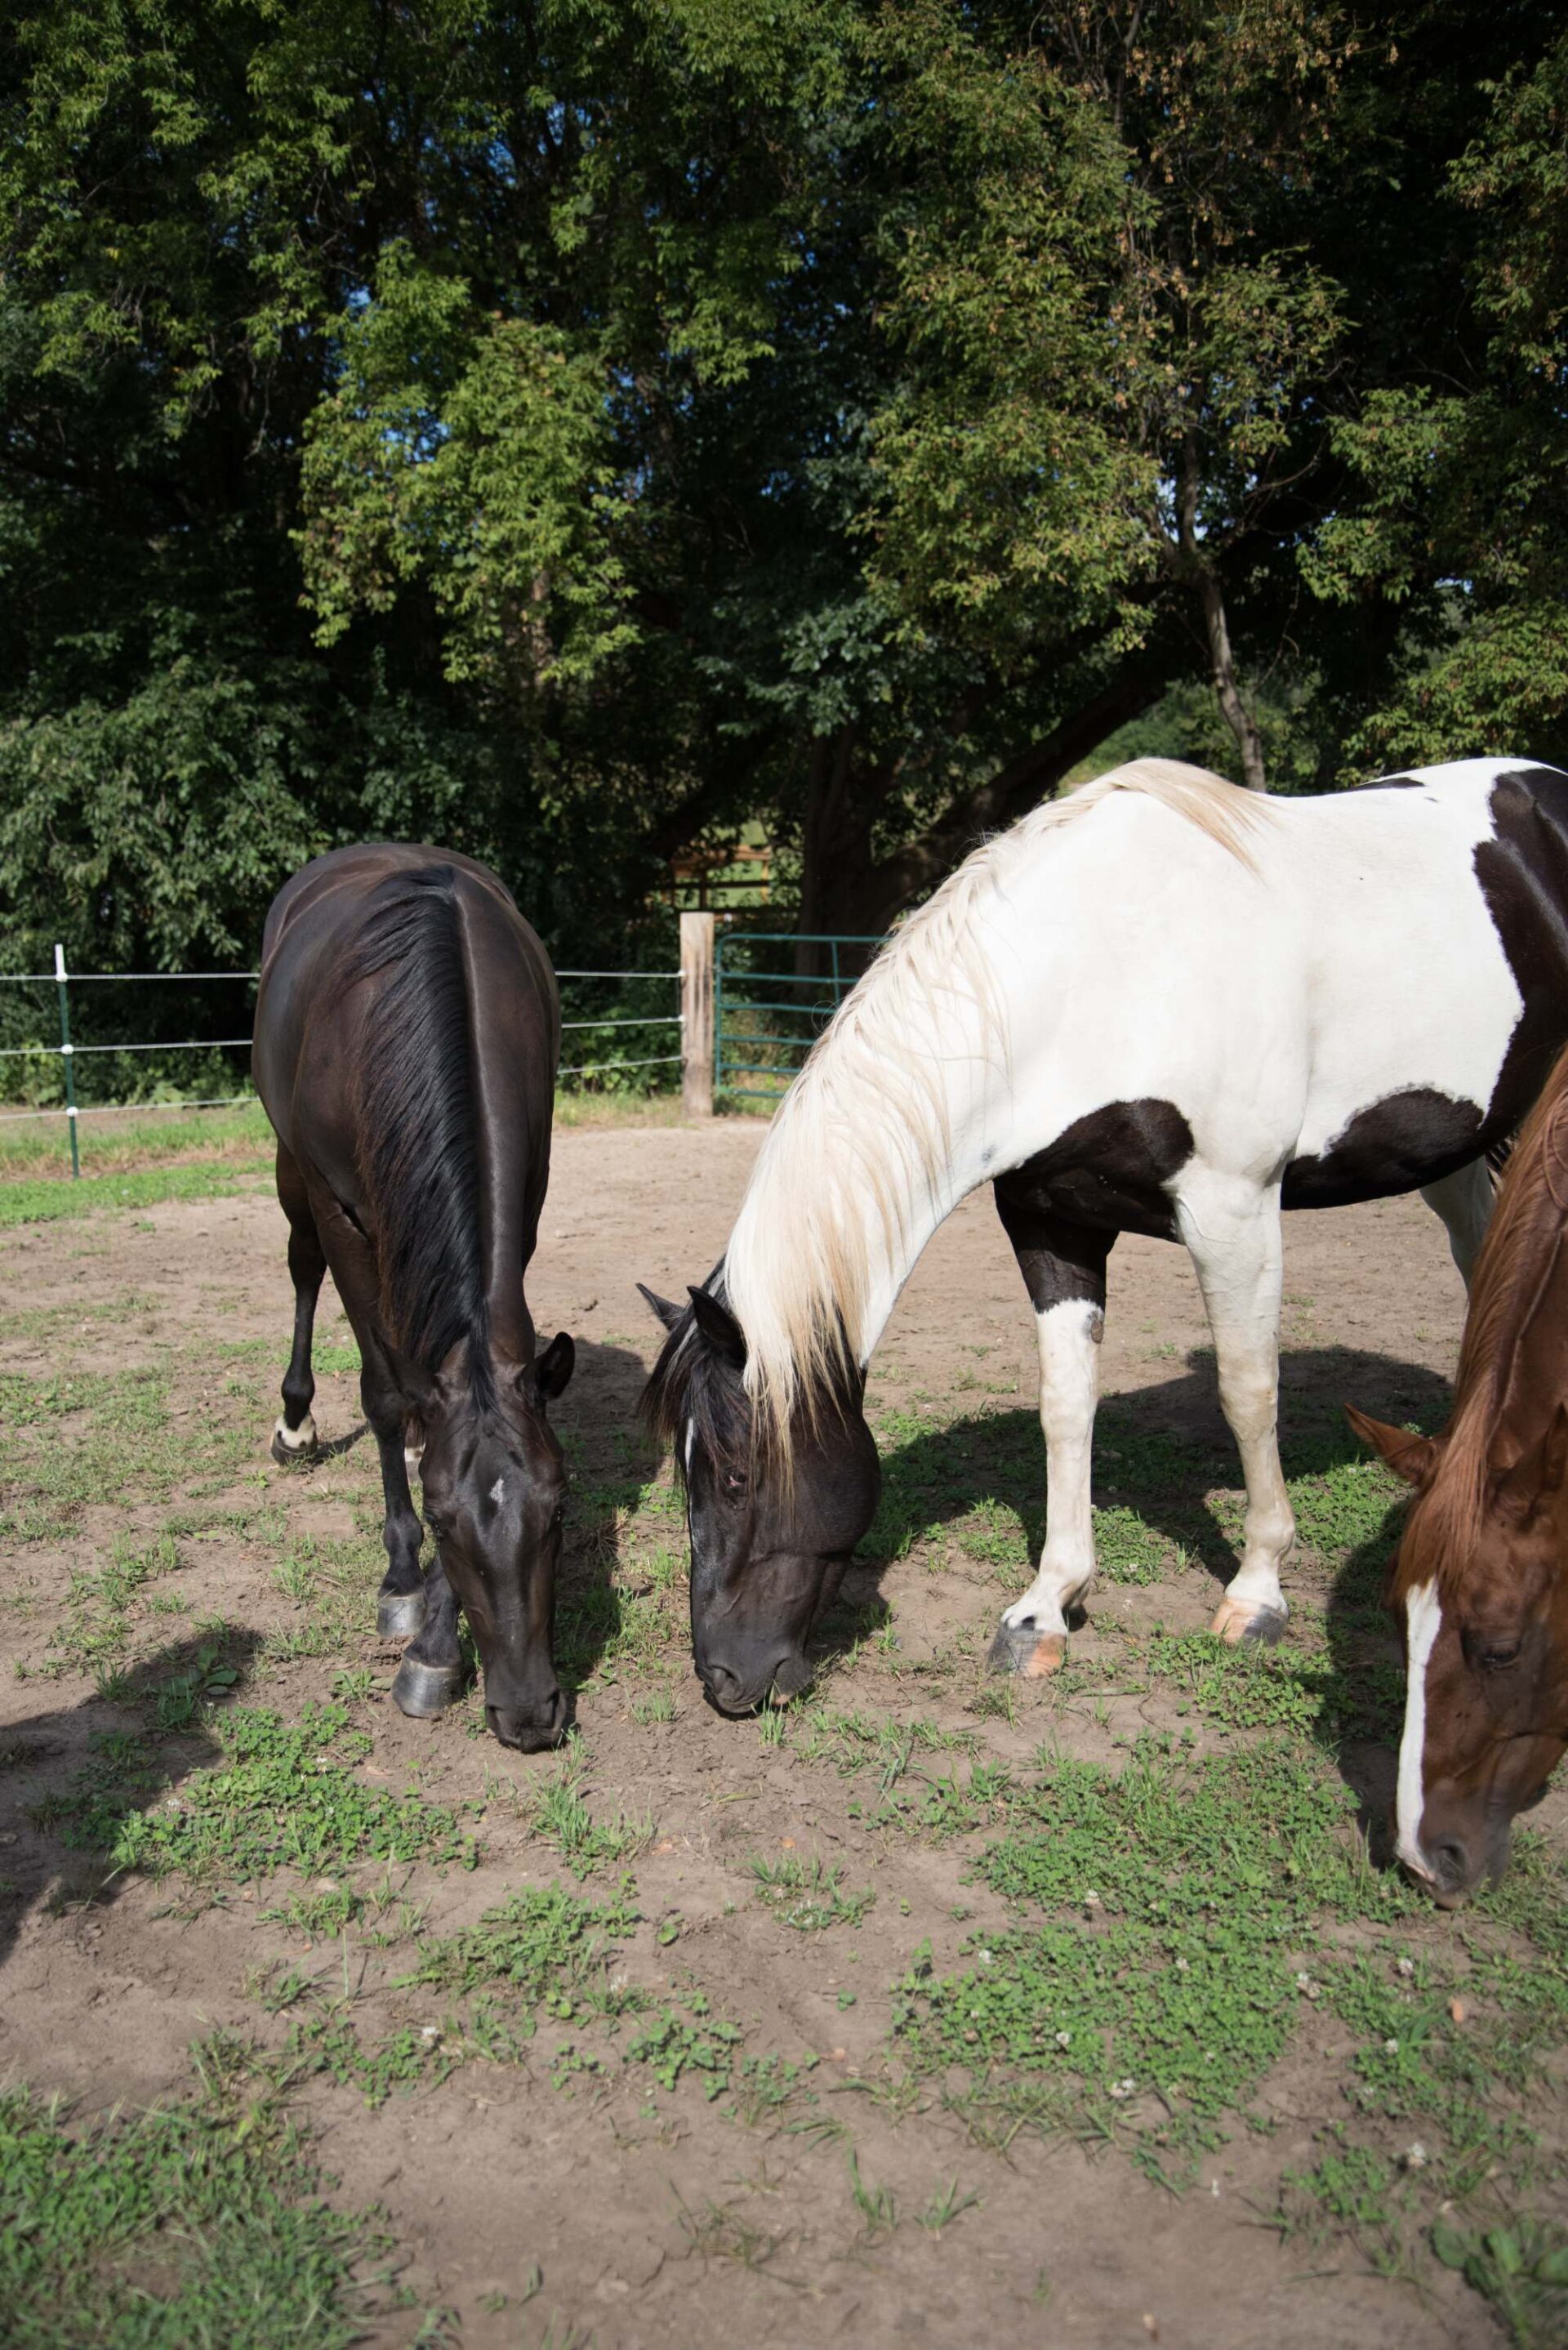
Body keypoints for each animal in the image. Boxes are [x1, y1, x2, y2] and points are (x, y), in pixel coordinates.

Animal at [255, 845, 573, 1748]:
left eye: (560, 1513)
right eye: (440, 1521)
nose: (530, 1711)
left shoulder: (522, 1197)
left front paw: (435, 1643)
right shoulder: (339, 1208)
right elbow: (388, 1392)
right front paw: (405, 1584)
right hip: (294, 1173)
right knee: (302, 1271)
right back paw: (296, 1423)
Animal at [639, 761, 1568, 1719]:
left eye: (737, 1477)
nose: (724, 1678)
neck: (1097, 976)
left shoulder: (1232, 1209)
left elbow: (1246, 1392)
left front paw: (1258, 1593)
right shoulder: (1052, 1221)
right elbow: (1066, 1405)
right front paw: (1046, 1608)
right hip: (1451, 1150)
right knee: (1482, 1265)